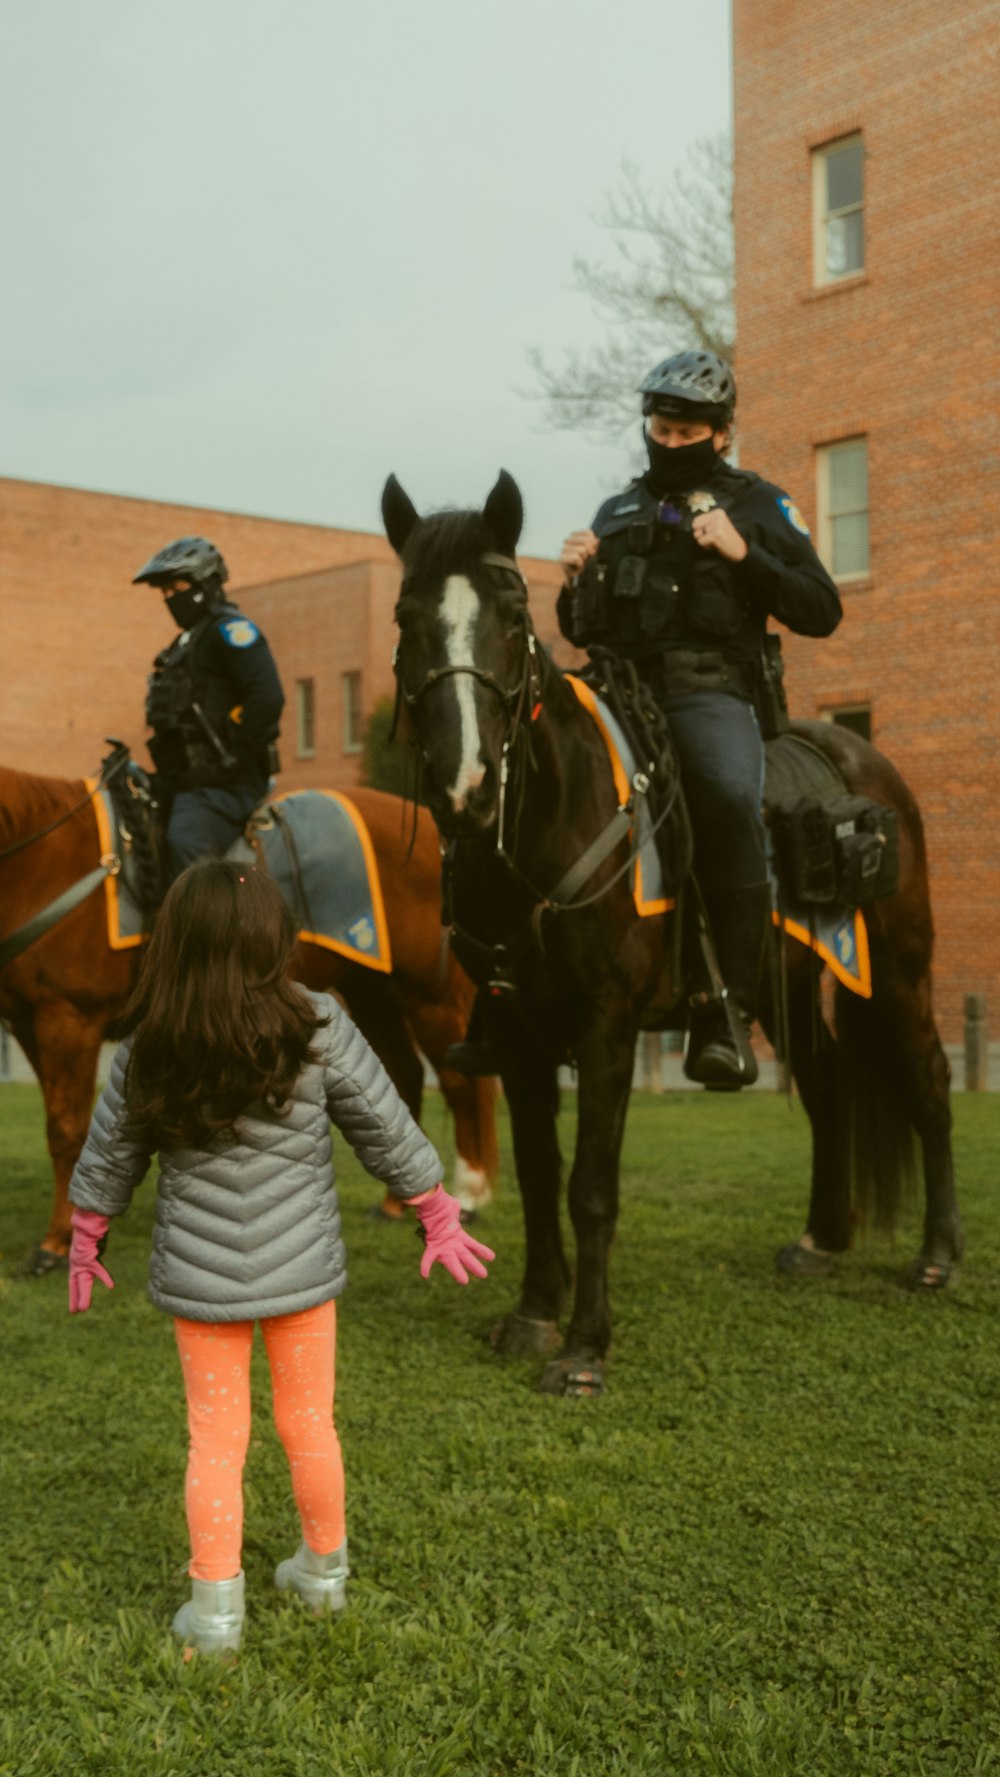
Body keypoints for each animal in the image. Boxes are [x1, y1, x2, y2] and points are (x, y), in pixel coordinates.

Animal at [0, 757, 497, 1272]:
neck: (47, 861)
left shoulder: (68, 1020)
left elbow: (66, 1132)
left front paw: (56, 1246)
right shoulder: (28, 1024)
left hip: (429, 994)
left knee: (462, 1085)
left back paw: (469, 1196)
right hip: (370, 987)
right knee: (402, 1076)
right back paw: (396, 1205)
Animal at [381, 472, 959, 1400]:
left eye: (512, 612)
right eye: (407, 615)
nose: (464, 785)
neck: (551, 819)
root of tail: (865, 765)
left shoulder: (607, 1028)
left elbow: (591, 1186)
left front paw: (585, 1347)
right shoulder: (518, 1033)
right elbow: (539, 1174)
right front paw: (534, 1313)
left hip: (903, 966)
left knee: (928, 1081)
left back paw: (938, 1255)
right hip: (786, 984)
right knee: (829, 1082)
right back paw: (821, 1239)